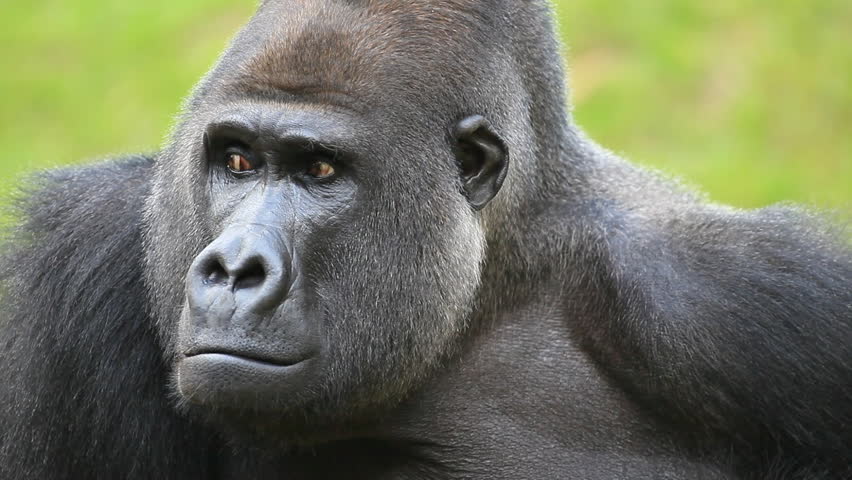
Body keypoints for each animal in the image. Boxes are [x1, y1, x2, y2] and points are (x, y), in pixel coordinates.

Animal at [1, 0, 852, 480]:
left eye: (319, 170)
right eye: (237, 160)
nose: (236, 268)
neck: (498, 280)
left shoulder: (749, 300)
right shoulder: (84, 265)